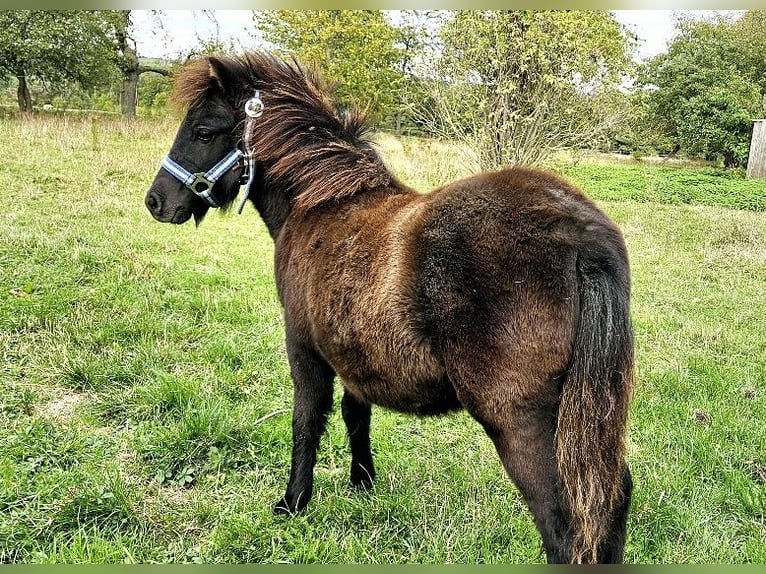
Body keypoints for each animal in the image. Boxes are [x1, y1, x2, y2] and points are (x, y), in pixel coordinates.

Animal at [146, 51, 636, 564]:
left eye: (204, 131)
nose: (155, 201)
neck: (321, 203)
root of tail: (579, 233)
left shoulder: (304, 348)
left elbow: (306, 420)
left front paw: (293, 501)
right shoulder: (352, 354)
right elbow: (354, 415)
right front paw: (362, 482)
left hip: (522, 422)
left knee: (563, 522)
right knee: (611, 497)